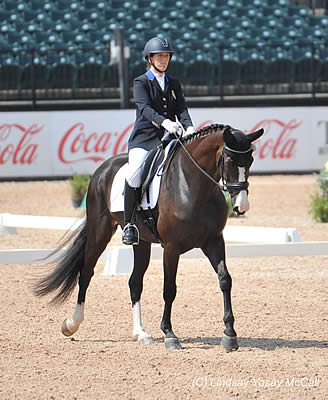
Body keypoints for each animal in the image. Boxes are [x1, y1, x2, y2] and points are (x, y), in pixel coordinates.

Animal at [34, 124, 264, 350]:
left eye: (250, 161)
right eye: (230, 161)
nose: (241, 207)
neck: (193, 186)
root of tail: (103, 168)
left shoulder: (214, 241)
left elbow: (225, 280)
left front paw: (229, 334)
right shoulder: (171, 248)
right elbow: (169, 289)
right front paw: (170, 334)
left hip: (141, 243)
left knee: (134, 282)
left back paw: (141, 333)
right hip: (100, 232)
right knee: (86, 273)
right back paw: (72, 324)